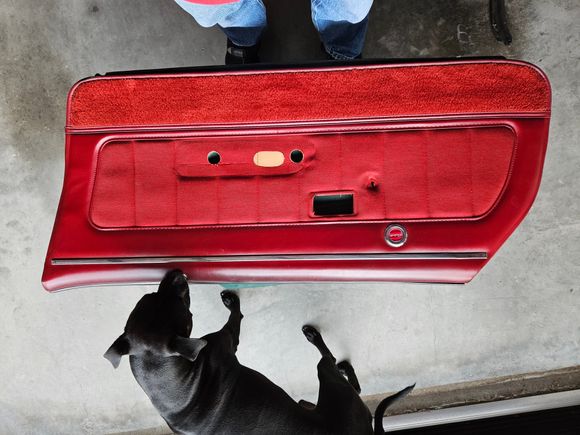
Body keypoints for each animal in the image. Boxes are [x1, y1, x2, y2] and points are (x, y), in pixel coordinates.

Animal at [104, 270, 412, 434]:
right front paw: (231, 302)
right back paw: (322, 349)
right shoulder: (226, 341)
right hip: (329, 381)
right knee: (332, 363)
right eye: (183, 309)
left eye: (150, 297)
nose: (175, 274)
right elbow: (236, 318)